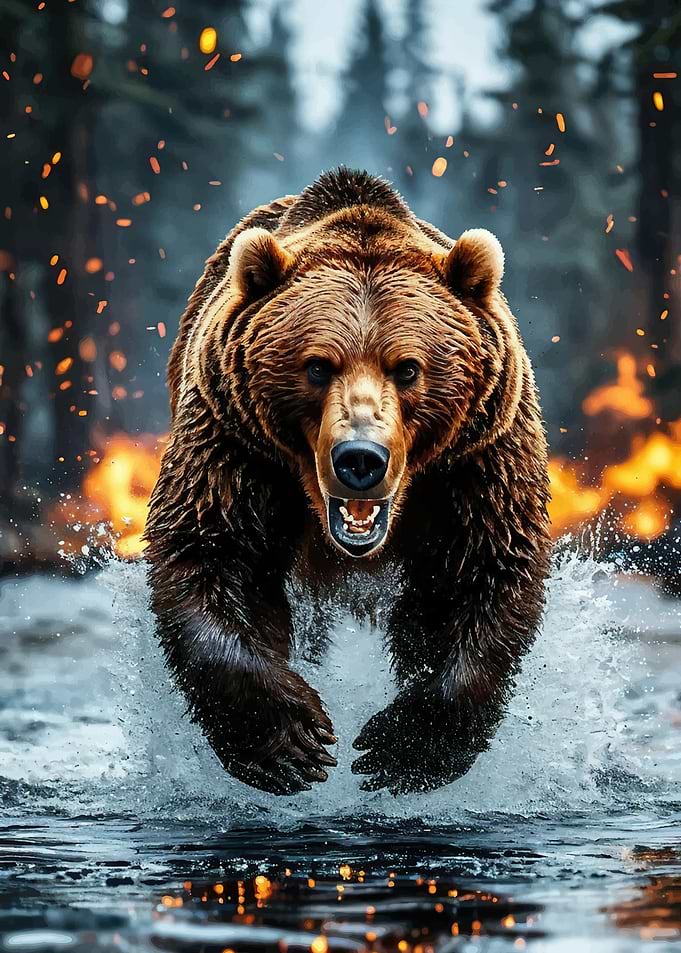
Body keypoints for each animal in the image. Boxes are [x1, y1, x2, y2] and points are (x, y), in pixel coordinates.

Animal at [144, 168, 551, 796]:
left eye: (407, 368)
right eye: (317, 365)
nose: (360, 458)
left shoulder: (476, 460)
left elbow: (482, 572)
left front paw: (400, 748)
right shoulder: (236, 446)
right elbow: (209, 553)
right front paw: (291, 741)